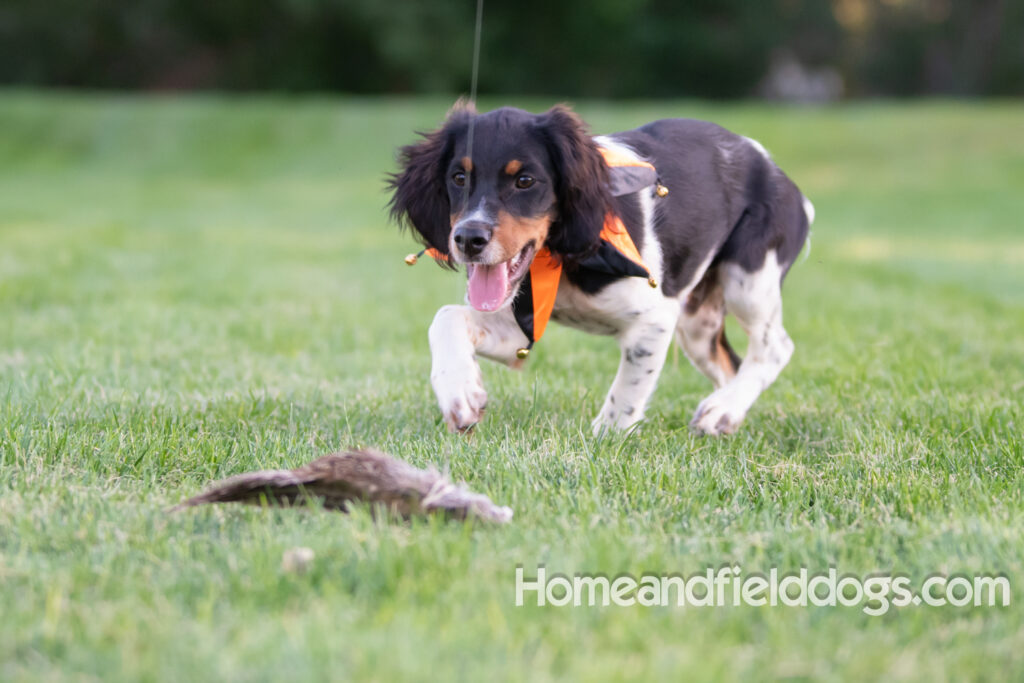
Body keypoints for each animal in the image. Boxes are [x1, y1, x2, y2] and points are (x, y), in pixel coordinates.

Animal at [387, 104, 811, 436]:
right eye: (458, 178)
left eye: (525, 180)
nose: (468, 238)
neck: (561, 257)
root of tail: (785, 181)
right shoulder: (521, 323)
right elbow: (446, 317)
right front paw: (460, 393)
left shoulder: (655, 317)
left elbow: (628, 390)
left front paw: (607, 435)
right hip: (698, 322)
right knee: (733, 366)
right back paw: (724, 413)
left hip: (749, 279)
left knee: (775, 348)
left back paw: (721, 409)